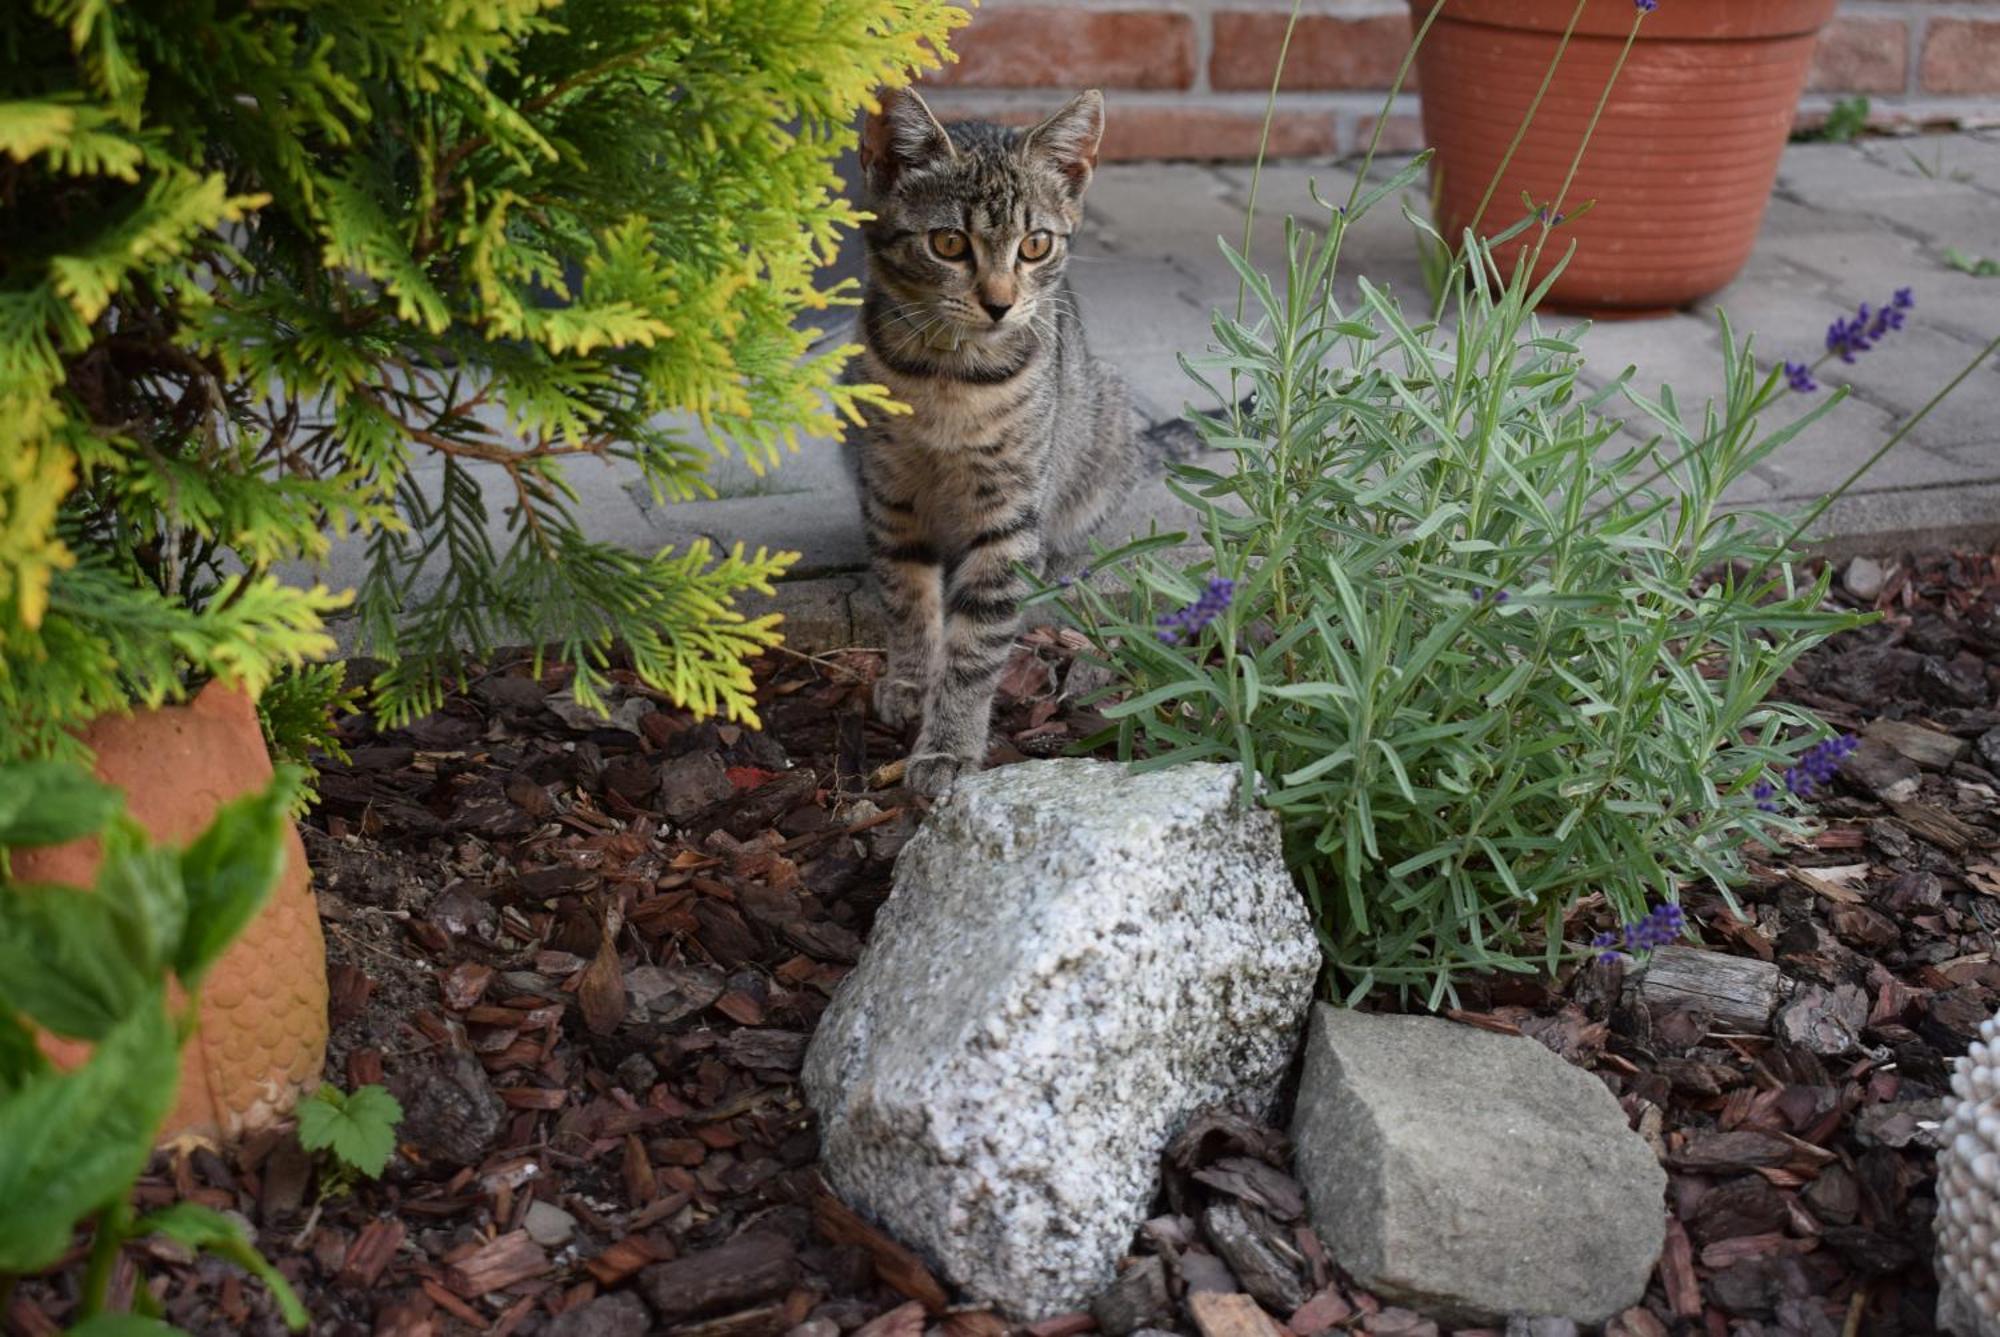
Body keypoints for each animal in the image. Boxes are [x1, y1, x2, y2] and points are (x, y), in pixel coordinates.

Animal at [844, 88, 1136, 800]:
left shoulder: (1007, 515)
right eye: (949, 242)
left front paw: (948, 745)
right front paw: (912, 679)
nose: (1000, 303)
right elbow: (905, 597)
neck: (949, 376)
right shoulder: (889, 492)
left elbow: (976, 647)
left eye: (1035, 245)